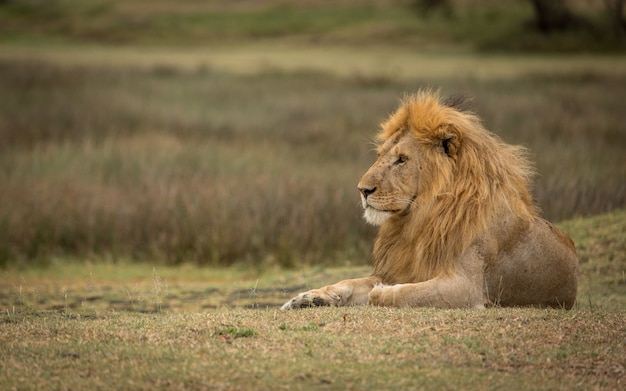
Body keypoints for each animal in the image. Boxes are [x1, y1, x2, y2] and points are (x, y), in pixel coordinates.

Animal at [280, 90, 576, 310]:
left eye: (402, 159)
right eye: (381, 154)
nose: (362, 189)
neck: (421, 219)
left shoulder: (466, 288)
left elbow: (399, 293)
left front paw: (380, 292)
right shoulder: (398, 267)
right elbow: (349, 282)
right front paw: (308, 298)